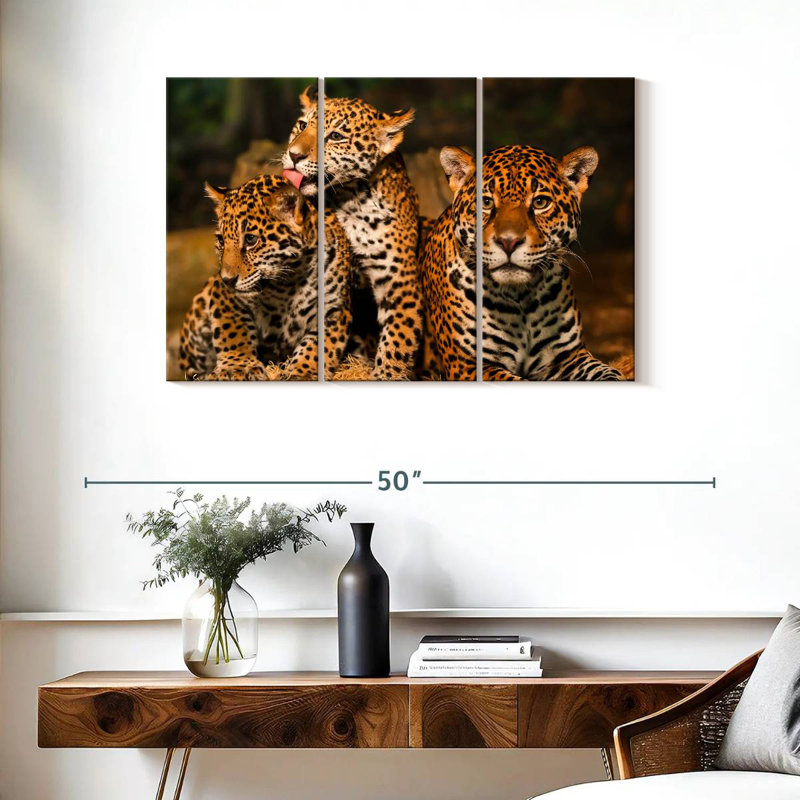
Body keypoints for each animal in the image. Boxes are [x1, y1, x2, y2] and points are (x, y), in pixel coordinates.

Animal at [179, 174, 351, 381]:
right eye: (221, 240)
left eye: (251, 239)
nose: (227, 280)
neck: (289, 282)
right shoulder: (225, 296)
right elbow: (233, 330)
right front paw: (237, 367)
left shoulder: (334, 309)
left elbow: (318, 345)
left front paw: (302, 371)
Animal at [281, 86, 423, 380]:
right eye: (302, 125)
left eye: (335, 136)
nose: (294, 155)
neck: (348, 200)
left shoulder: (401, 285)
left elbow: (397, 343)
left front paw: (386, 375)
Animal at [420, 145, 623, 381]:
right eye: (486, 202)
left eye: (540, 202)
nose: (509, 242)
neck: (521, 298)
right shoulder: (467, 366)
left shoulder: (569, 356)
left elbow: (608, 373)